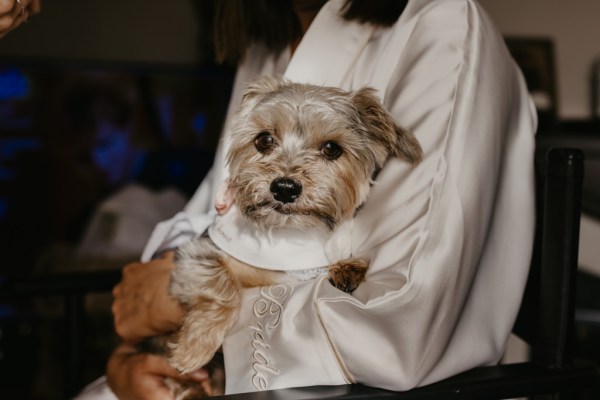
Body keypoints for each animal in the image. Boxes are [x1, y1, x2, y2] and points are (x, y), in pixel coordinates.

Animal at [150, 76, 422, 396]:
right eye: (264, 140)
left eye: (332, 148)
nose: (284, 188)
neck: (287, 235)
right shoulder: (196, 254)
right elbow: (224, 286)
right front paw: (194, 348)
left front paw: (347, 268)